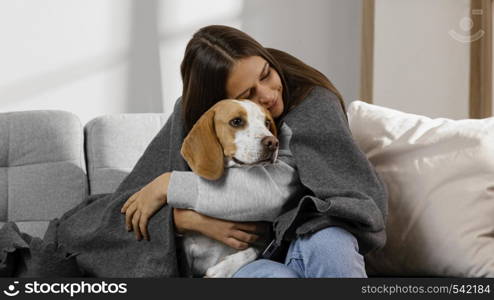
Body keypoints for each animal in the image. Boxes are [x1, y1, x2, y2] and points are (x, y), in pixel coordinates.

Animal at [180, 99, 282, 278]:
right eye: (236, 122)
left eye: (267, 123)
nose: (273, 142)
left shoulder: (263, 241)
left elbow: (251, 251)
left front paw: (222, 269)